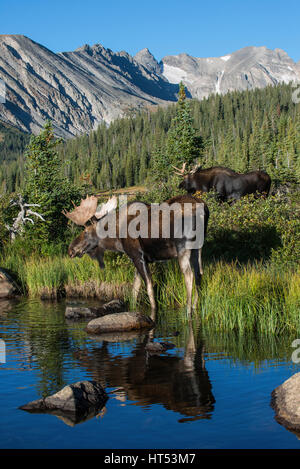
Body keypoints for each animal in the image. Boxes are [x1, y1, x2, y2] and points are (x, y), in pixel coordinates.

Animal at [63, 194, 209, 318]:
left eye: (86, 231)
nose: (71, 249)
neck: (117, 239)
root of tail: (203, 210)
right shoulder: (139, 259)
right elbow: (135, 290)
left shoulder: (138, 256)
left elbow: (148, 287)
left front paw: (154, 311)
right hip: (198, 248)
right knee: (199, 274)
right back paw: (195, 307)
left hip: (183, 247)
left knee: (189, 275)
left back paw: (188, 311)